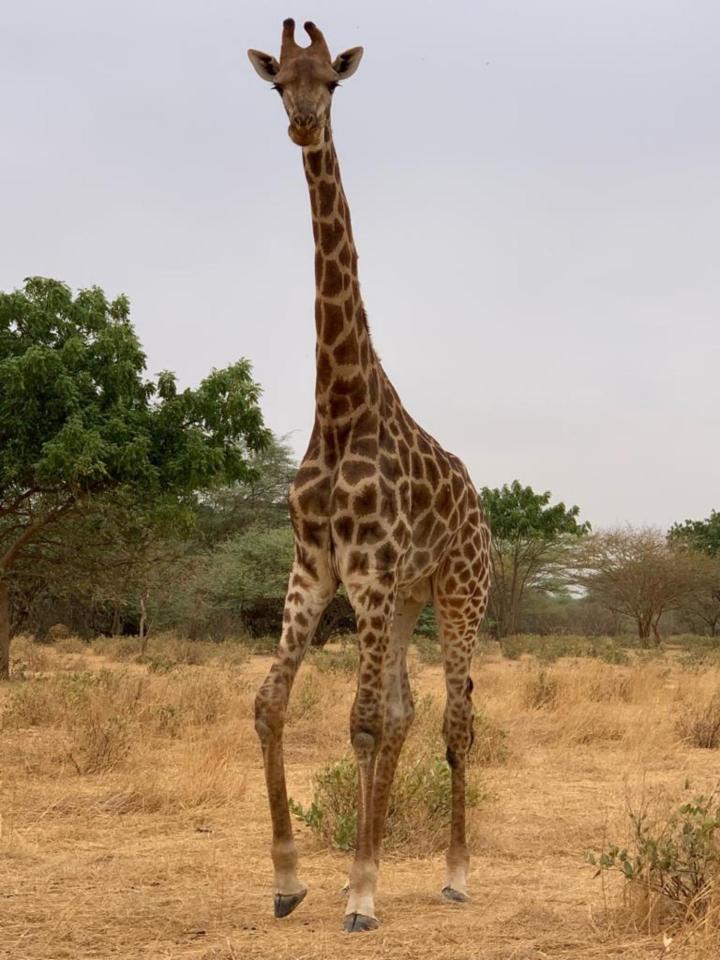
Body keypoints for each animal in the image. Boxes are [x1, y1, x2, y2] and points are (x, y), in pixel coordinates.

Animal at [248, 18, 490, 932]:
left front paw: (359, 891)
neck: (341, 402)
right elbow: (272, 705)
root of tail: (483, 509)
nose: (303, 124)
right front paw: (291, 879)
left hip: (457, 592)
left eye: (333, 82)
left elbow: (355, 721)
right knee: (406, 713)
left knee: (455, 720)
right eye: (278, 81)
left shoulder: (371, 571)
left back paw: (455, 874)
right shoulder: (316, 566)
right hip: (411, 595)